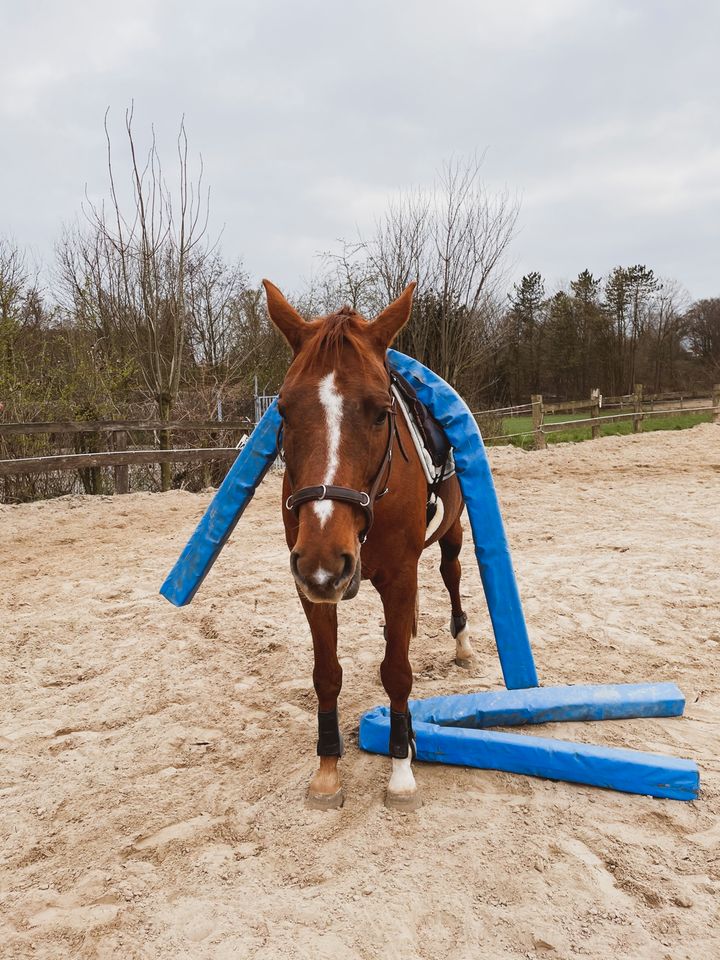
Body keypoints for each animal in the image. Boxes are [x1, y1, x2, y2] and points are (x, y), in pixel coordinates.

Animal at [264, 278, 472, 808]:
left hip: (452, 535)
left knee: (452, 574)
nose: (325, 558)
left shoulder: (399, 575)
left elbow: (396, 671)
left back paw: (462, 644)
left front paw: (401, 771)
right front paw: (327, 771)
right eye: (283, 411)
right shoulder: (311, 586)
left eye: (381, 413)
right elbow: (326, 674)